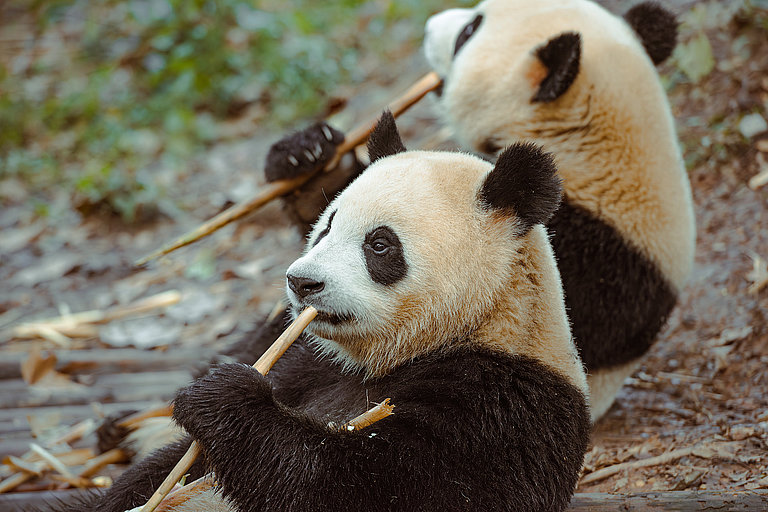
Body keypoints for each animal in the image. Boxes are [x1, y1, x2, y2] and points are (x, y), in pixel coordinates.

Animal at [51, 113, 590, 512]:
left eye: (379, 244)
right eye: (327, 226)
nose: (301, 282)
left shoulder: (503, 403)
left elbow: (374, 489)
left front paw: (223, 397)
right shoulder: (312, 361)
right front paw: (308, 156)